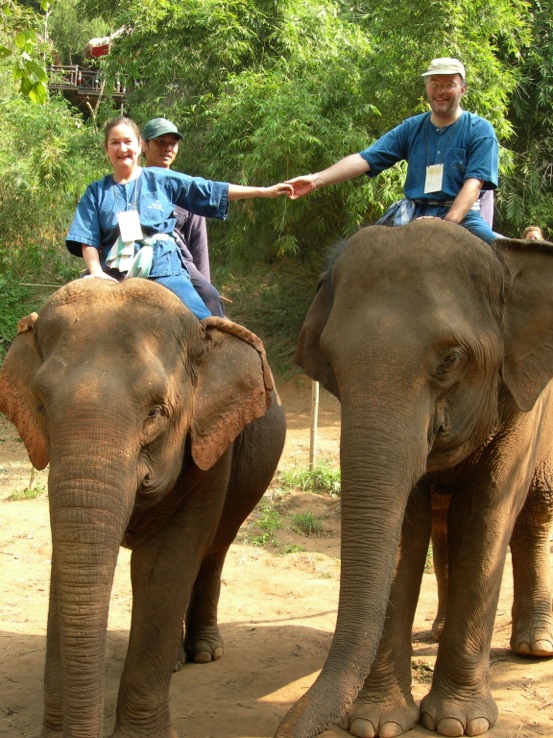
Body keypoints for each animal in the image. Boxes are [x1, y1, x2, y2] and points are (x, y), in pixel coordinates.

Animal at [0, 277, 286, 738]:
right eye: (41, 407)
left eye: (156, 413)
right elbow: (67, 560)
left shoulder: (208, 452)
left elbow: (166, 565)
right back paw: (176, 661)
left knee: (215, 549)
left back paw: (203, 652)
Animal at [276, 219, 553, 738]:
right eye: (330, 360)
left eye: (451, 359)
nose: (286, 727)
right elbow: (407, 526)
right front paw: (377, 723)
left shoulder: (526, 401)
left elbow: (489, 514)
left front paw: (460, 723)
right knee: (446, 527)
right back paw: (441, 631)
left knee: (535, 513)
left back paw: (536, 646)